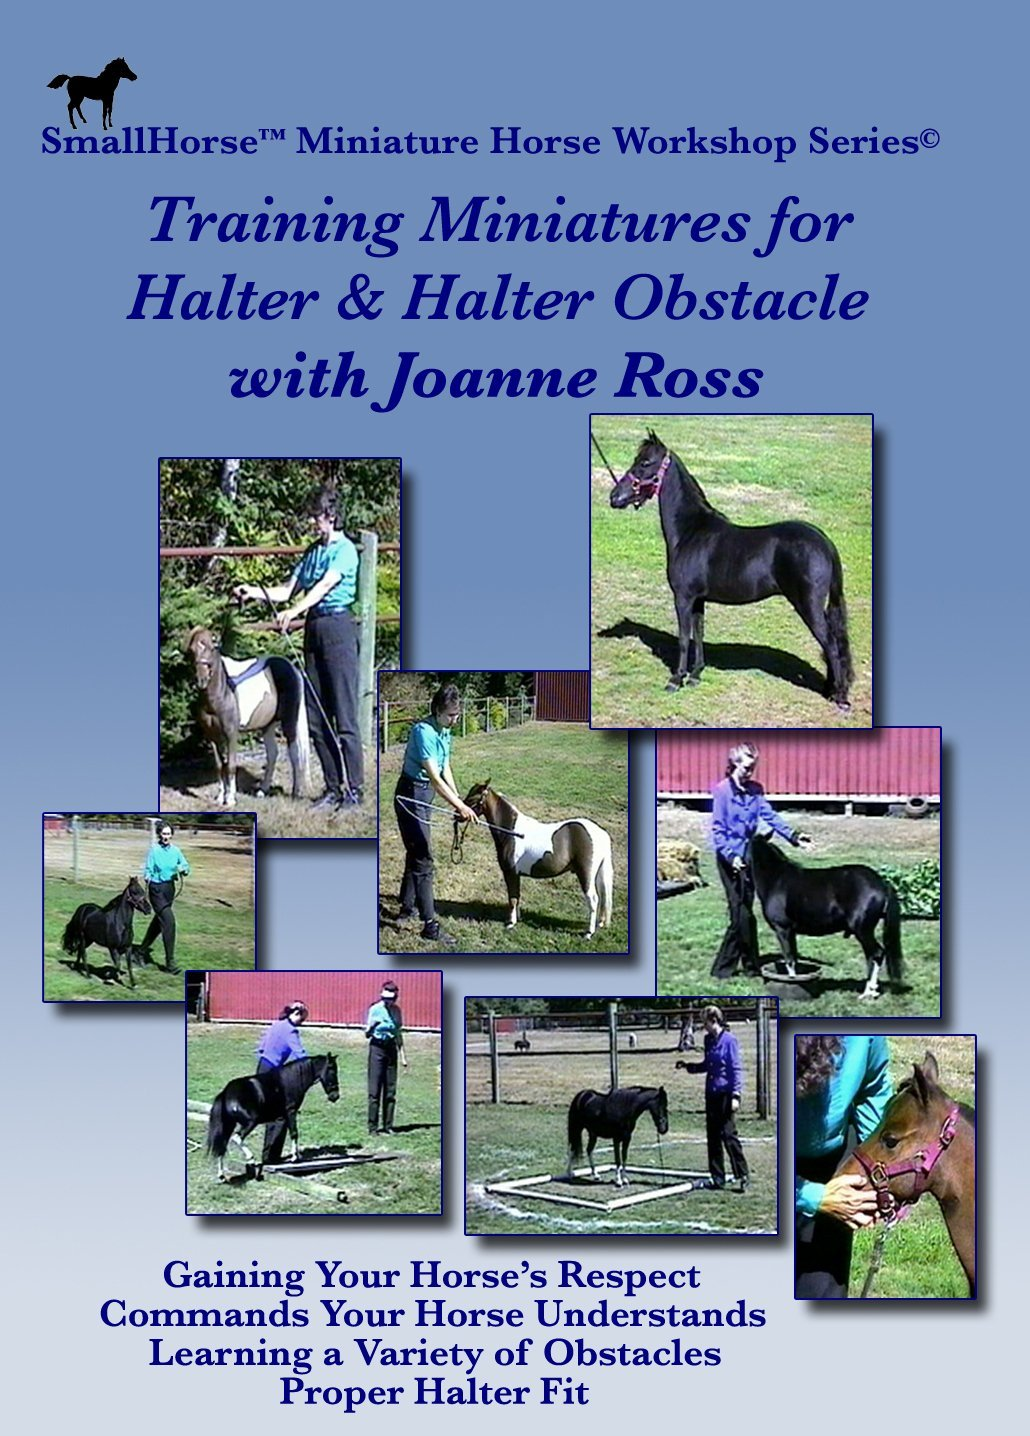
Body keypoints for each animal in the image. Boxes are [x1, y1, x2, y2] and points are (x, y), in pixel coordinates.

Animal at [186, 627, 311, 806]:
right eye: (191, 651)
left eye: (212, 648)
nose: (201, 680)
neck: (222, 692)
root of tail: (292, 668)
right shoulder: (212, 736)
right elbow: (219, 765)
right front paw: (220, 797)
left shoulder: (231, 734)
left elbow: (231, 765)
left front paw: (230, 799)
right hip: (268, 725)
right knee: (272, 754)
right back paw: (262, 790)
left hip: (289, 721)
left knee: (294, 753)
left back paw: (295, 793)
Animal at [206, 1055, 340, 1182]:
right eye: (332, 1070)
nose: (335, 1096)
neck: (291, 1079)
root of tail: (225, 1093)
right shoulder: (291, 1111)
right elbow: (294, 1133)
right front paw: (294, 1158)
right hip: (250, 1122)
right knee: (237, 1138)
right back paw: (251, 1159)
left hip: (229, 1125)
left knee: (222, 1147)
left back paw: (222, 1176)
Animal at [461, 781, 614, 938]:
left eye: (472, 798)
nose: (457, 815)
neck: (512, 832)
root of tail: (600, 832)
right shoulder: (516, 875)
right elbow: (516, 896)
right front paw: (516, 919)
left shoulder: (511, 873)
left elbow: (512, 898)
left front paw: (510, 923)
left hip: (586, 875)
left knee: (593, 899)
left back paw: (589, 933)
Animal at [608, 431, 853, 709]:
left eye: (645, 463)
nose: (614, 497)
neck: (690, 531)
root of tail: (825, 542)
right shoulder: (698, 600)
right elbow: (698, 634)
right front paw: (695, 675)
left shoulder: (683, 598)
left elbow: (683, 639)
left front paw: (676, 680)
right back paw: (830, 689)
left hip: (809, 605)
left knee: (831, 645)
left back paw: (840, 697)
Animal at [749, 834, 902, 1000]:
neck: (776, 879)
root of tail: (882, 883)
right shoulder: (791, 932)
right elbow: (794, 958)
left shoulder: (782, 929)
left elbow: (789, 959)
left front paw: (792, 982)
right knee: (871, 956)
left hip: (863, 931)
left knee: (877, 954)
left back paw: (869, 992)